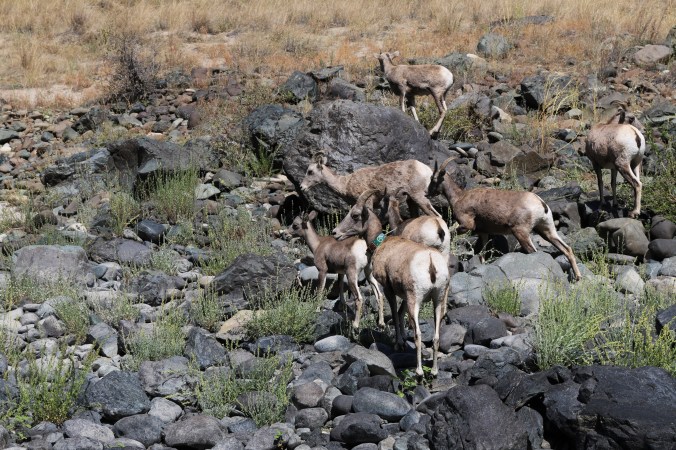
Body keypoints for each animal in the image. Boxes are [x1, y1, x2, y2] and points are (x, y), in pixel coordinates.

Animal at [300, 153, 441, 217]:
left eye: (310, 171)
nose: (302, 187)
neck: (346, 183)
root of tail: (427, 171)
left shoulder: (368, 203)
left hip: (418, 197)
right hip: (412, 201)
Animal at [333, 189, 450, 377]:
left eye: (355, 215)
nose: (335, 232)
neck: (382, 244)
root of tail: (431, 262)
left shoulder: (388, 289)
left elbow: (395, 313)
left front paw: (398, 343)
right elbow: (399, 314)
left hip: (415, 300)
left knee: (417, 334)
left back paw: (419, 372)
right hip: (437, 299)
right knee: (436, 336)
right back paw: (434, 371)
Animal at [429, 157, 582, 281]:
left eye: (433, 179)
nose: (427, 193)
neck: (459, 197)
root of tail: (541, 204)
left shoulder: (467, 225)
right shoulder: (483, 233)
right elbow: (482, 252)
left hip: (521, 232)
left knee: (534, 251)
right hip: (547, 231)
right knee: (566, 249)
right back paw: (578, 277)